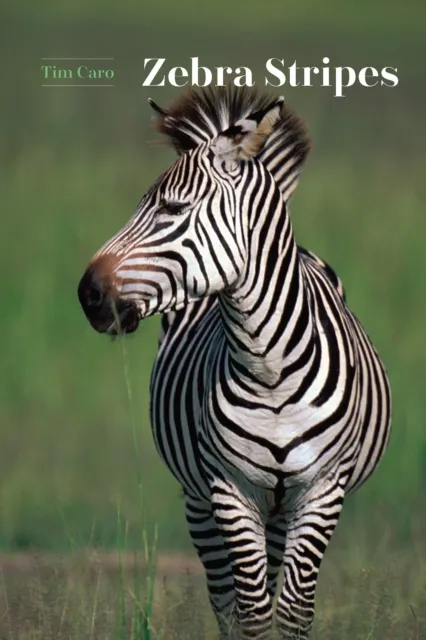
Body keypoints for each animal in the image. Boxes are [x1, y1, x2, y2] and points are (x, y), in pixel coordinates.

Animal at [78, 86, 391, 639]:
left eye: (172, 208)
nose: (87, 294)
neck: (270, 370)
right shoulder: (229, 489)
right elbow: (251, 612)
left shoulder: (321, 489)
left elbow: (292, 612)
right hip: (200, 500)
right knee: (225, 600)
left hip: (281, 509)